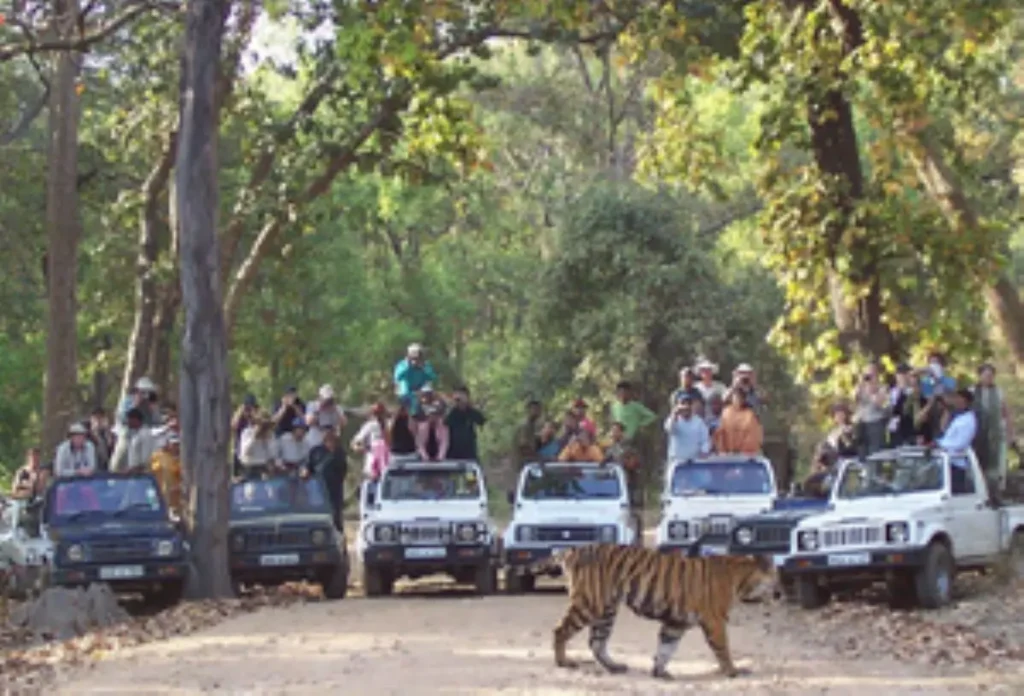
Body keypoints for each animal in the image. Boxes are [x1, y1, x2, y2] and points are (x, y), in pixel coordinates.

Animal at [532, 544, 779, 680]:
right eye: (776, 577)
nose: (780, 593)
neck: (741, 579)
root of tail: (573, 549)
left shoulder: (676, 622)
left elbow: (666, 648)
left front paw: (660, 672)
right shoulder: (715, 620)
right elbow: (723, 649)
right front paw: (732, 671)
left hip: (606, 611)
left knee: (596, 642)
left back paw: (615, 667)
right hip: (589, 603)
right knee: (560, 630)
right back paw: (564, 662)